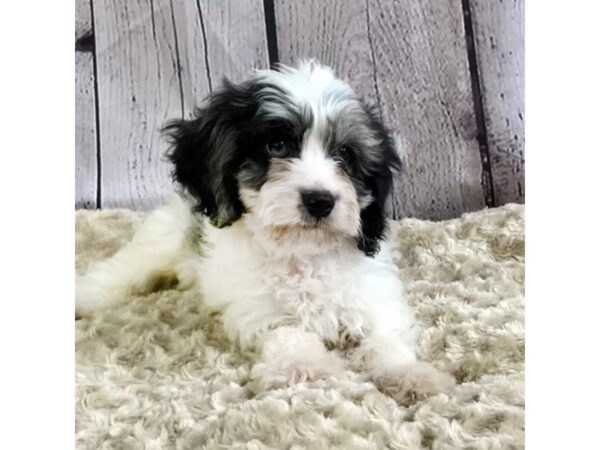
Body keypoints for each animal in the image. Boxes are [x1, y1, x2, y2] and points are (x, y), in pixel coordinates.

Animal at [78, 59, 454, 404]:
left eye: (345, 154)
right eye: (278, 146)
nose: (320, 200)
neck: (302, 251)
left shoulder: (374, 294)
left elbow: (384, 337)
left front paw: (410, 375)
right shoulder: (256, 306)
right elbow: (288, 331)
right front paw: (302, 367)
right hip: (159, 242)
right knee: (116, 274)